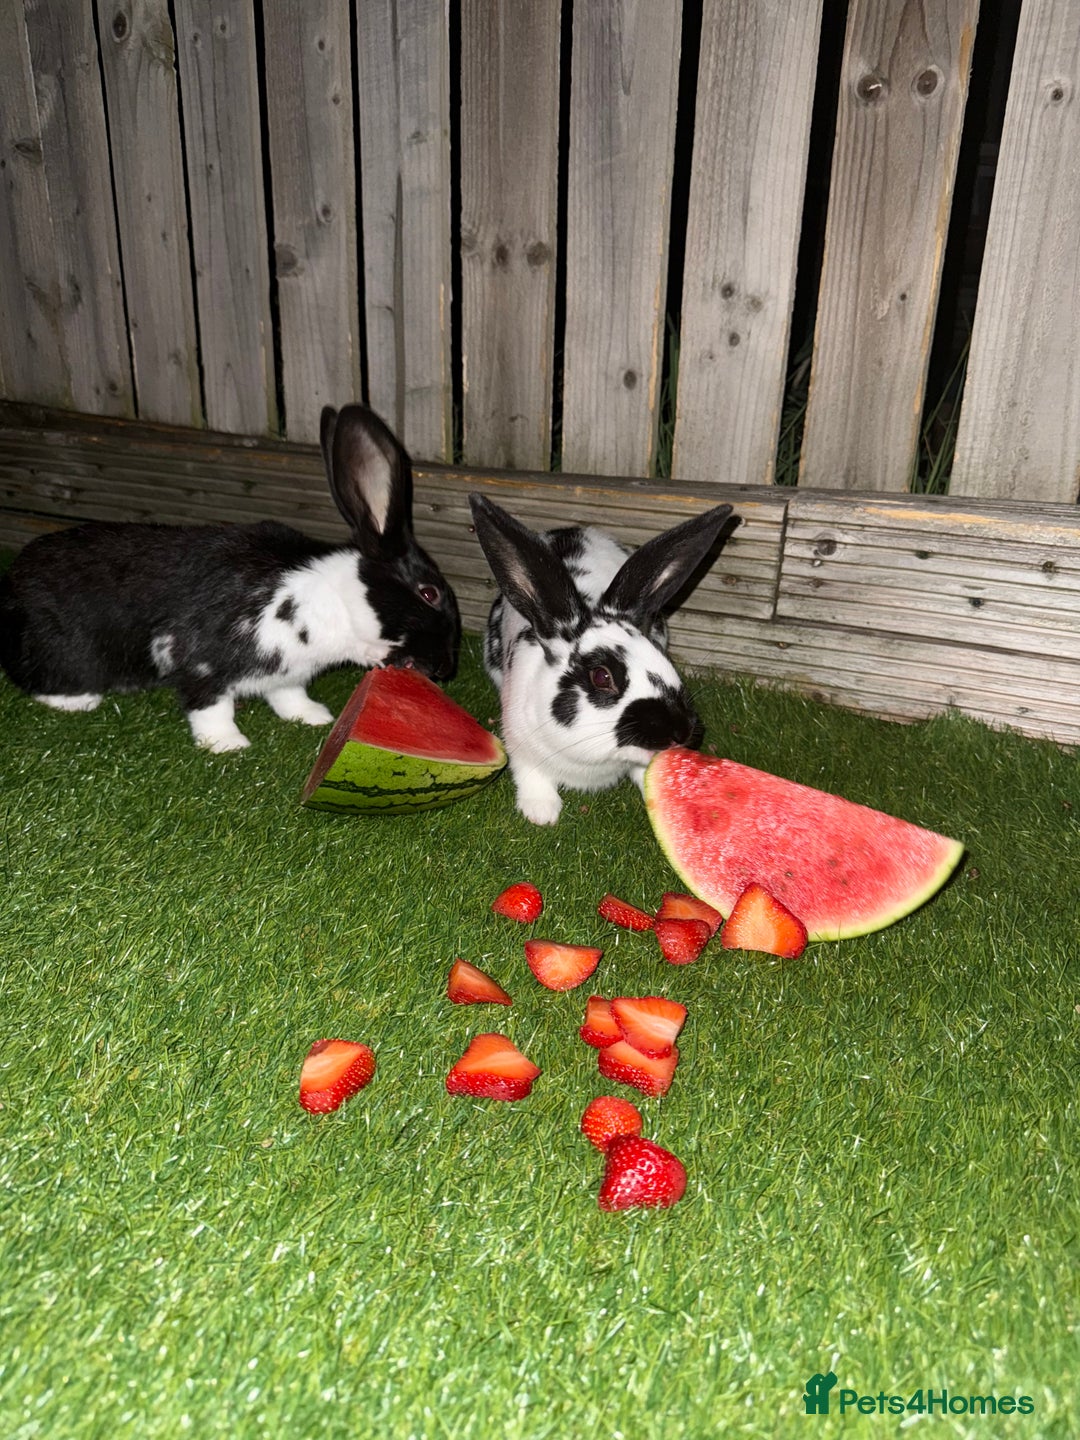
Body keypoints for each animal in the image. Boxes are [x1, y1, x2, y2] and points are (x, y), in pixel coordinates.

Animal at [0, 404, 461, 752]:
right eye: (429, 593)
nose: (446, 669)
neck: (336, 601)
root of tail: (12, 591)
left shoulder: (289, 671)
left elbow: (289, 695)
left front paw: (313, 717)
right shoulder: (201, 658)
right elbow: (211, 705)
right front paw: (227, 744)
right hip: (66, 651)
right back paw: (77, 701)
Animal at [468, 493, 734, 824]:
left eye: (662, 657)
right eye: (602, 676)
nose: (680, 731)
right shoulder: (519, 743)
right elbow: (531, 775)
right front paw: (541, 812)